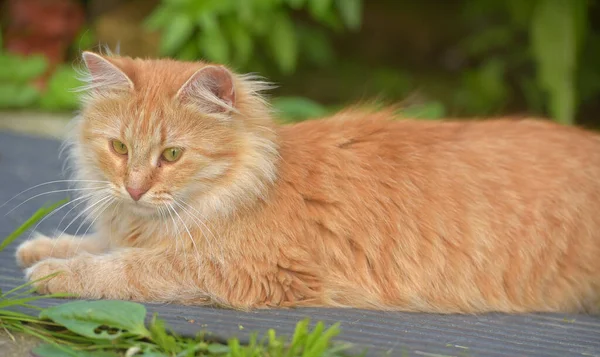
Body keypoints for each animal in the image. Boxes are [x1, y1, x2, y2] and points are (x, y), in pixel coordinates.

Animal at [15, 51, 600, 312]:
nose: (133, 188)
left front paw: (56, 273)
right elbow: (96, 244)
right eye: (119, 148)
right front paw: (43, 248)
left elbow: (126, 268)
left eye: (172, 154)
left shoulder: (235, 270)